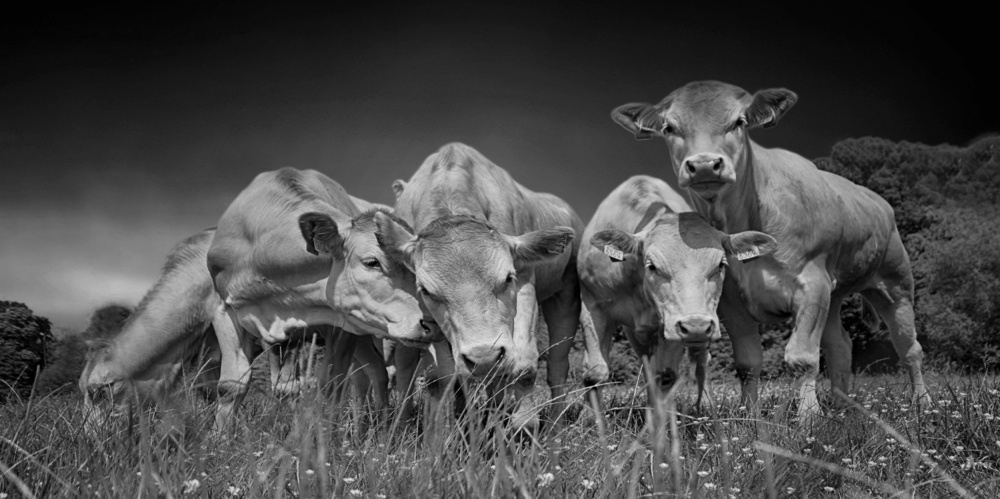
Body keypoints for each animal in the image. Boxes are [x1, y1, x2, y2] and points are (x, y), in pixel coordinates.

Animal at [206, 167, 439, 427]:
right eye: (372, 262)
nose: (430, 323)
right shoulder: (225, 310)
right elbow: (232, 386)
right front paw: (220, 435)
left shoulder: (343, 327)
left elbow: (332, 385)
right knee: (374, 371)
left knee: (394, 373)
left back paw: (391, 426)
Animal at [374, 142, 600, 435]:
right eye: (425, 290)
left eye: (507, 278)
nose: (485, 356)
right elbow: (441, 376)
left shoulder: (525, 284)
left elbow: (524, 365)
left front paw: (523, 425)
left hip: (565, 297)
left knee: (556, 366)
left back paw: (552, 427)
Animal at [579, 174, 777, 410]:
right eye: (652, 266)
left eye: (721, 264)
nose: (696, 326)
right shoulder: (593, 306)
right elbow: (595, 373)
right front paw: (590, 417)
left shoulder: (671, 323)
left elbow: (666, 375)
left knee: (700, 362)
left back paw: (705, 405)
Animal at [611, 80, 929, 417]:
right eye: (669, 127)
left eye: (739, 122)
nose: (704, 165)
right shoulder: (733, 302)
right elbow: (748, 364)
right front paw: (751, 416)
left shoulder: (812, 285)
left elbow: (802, 357)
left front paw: (809, 417)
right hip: (835, 296)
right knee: (841, 345)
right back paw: (843, 405)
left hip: (895, 284)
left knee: (909, 347)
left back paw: (922, 403)